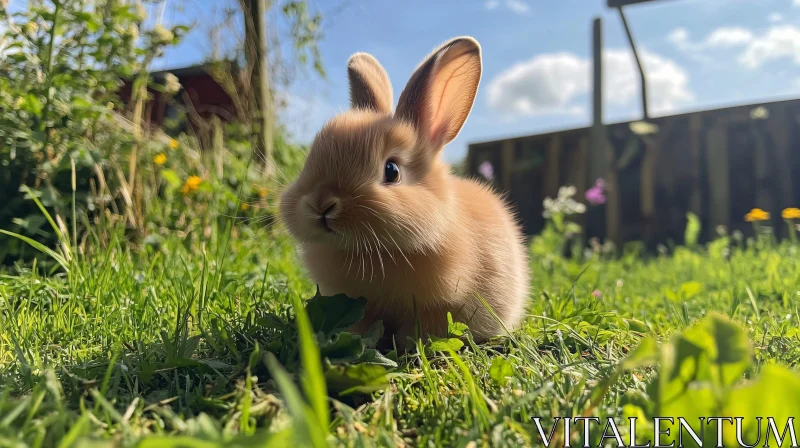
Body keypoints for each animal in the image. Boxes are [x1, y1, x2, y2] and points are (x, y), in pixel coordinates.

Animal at [278, 36, 528, 350]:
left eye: (392, 171)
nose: (321, 205)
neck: (379, 252)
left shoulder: (439, 308)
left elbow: (424, 328)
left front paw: (409, 343)